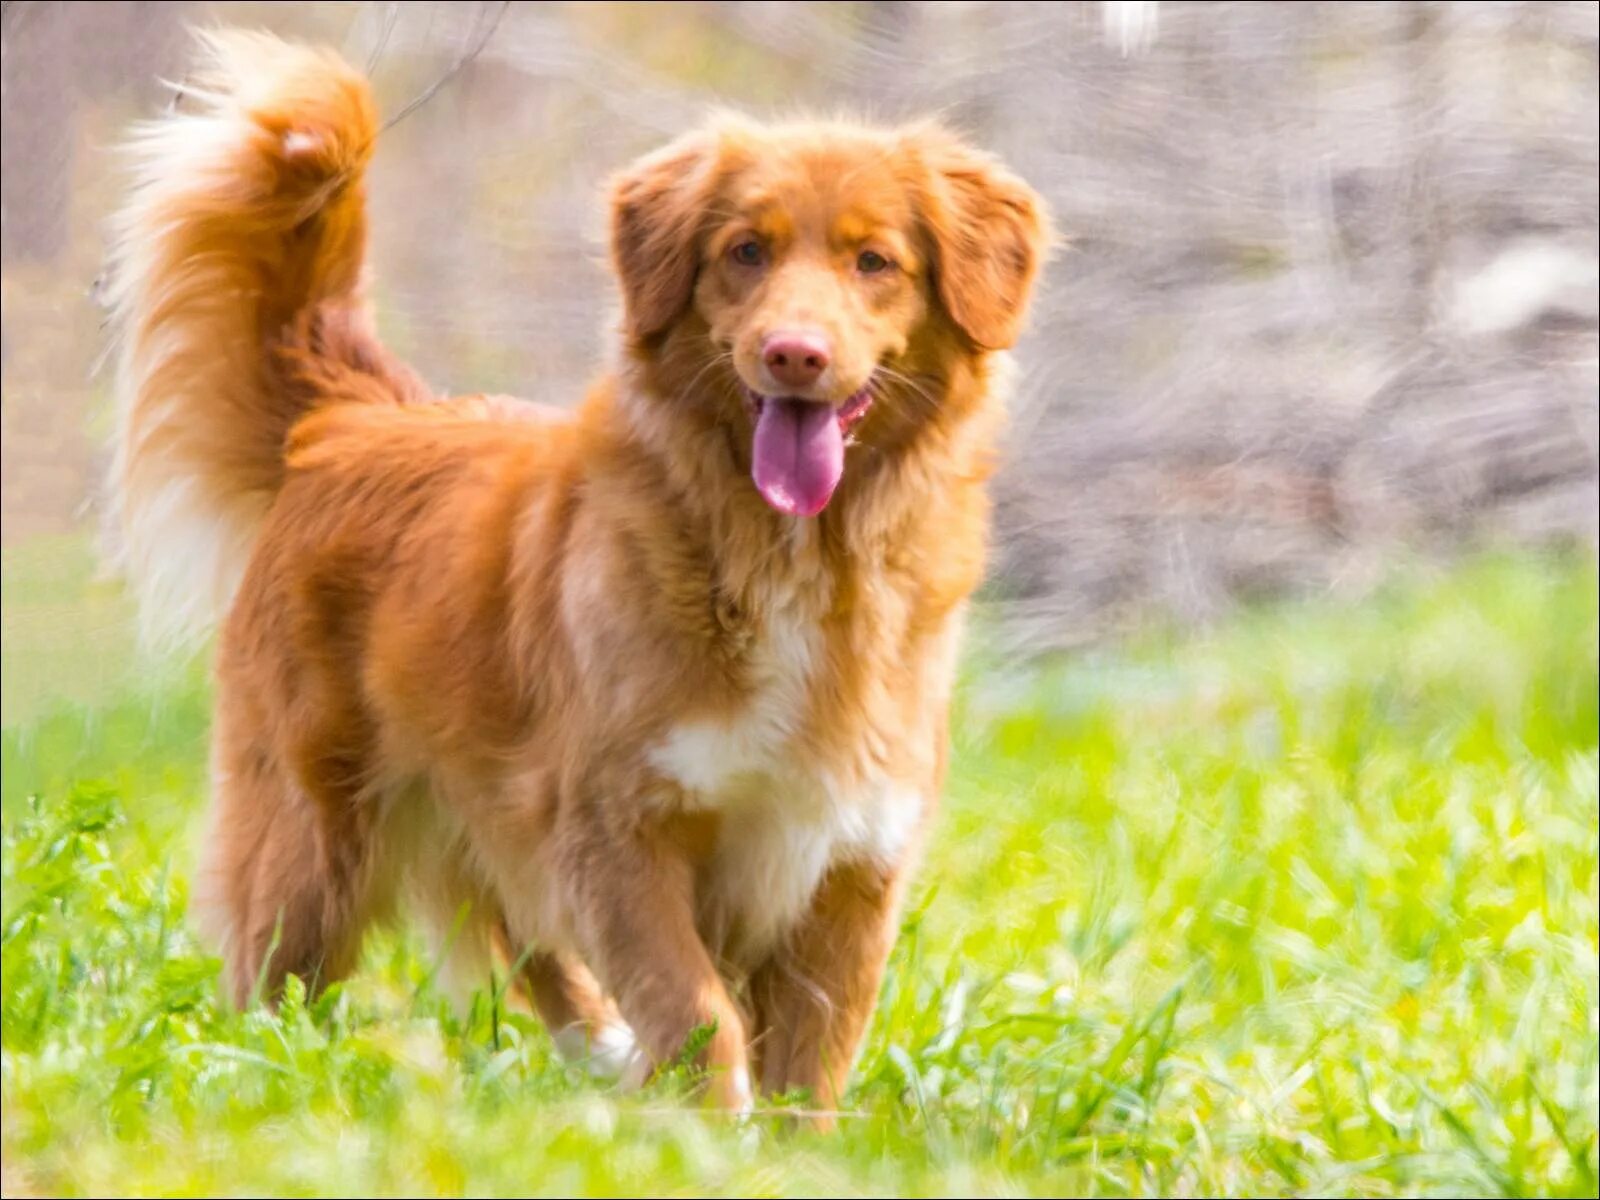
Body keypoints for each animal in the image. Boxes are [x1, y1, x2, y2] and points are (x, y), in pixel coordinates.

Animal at [106, 28, 1043, 1120]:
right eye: (746, 251)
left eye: (874, 262)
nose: (793, 355)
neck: (789, 554)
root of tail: (355, 420)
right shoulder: (613, 826)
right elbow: (697, 1013)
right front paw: (703, 1133)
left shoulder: (850, 857)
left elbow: (811, 1059)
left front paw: (779, 1141)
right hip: (312, 842)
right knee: (278, 985)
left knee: (521, 943)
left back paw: (600, 1056)